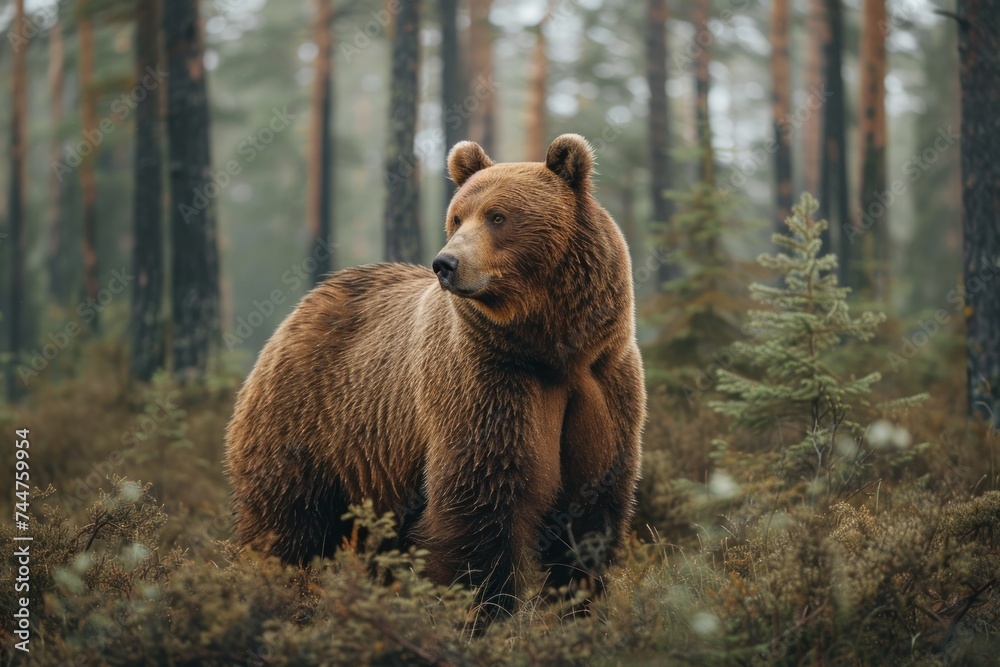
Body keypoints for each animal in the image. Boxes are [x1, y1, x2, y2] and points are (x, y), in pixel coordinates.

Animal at [225, 134, 646, 630]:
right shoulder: (487, 382)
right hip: (307, 423)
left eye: (498, 216)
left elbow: (590, 511)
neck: (551, 349)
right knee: (286, 523)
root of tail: (301, 308)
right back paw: (275, 591)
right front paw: (482, 614)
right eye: (458, 217)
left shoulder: (603, 384)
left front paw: (579, 611)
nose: (445, 262)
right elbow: (481, 500)